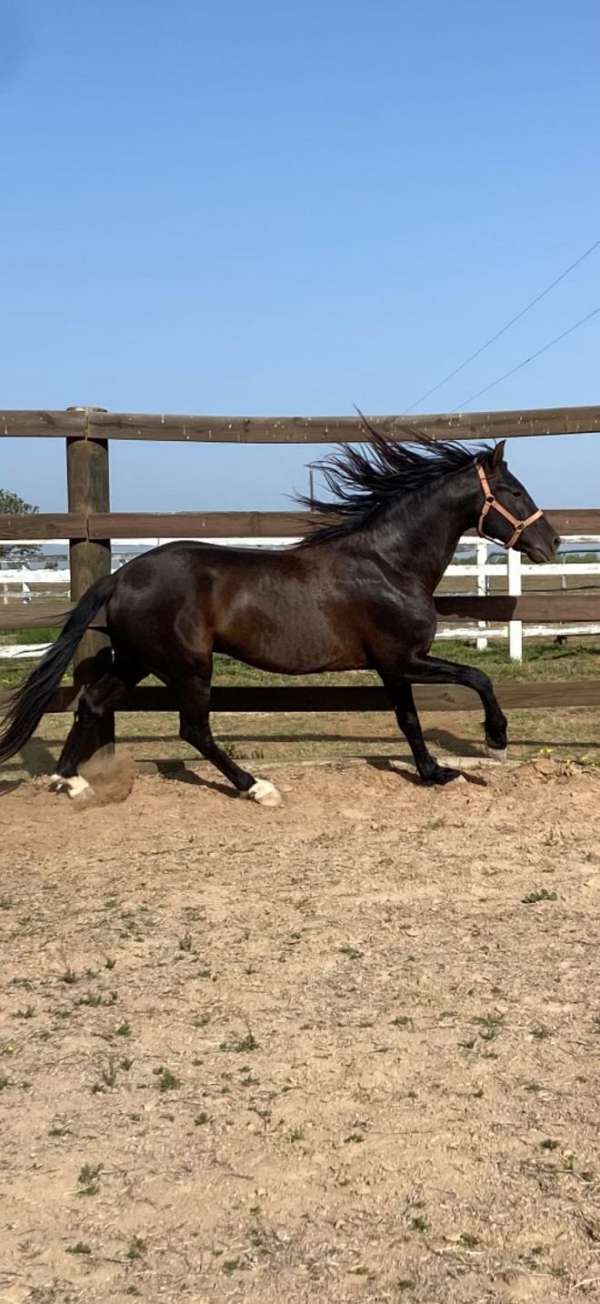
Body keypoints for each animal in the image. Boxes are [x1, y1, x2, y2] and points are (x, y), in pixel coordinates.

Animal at [0, 425, 558, 804]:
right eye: (514, 491)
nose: (551, 542)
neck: (388, 563)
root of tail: (121, 576)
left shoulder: (392, 666)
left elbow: (409, 720)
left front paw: (434, 772)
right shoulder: (405, 658)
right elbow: (478, 677)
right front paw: (496, 739)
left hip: (138, 660)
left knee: (93, 703)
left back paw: (70, 781)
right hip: (187, 666)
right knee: (194, 730)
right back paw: (257, 787)